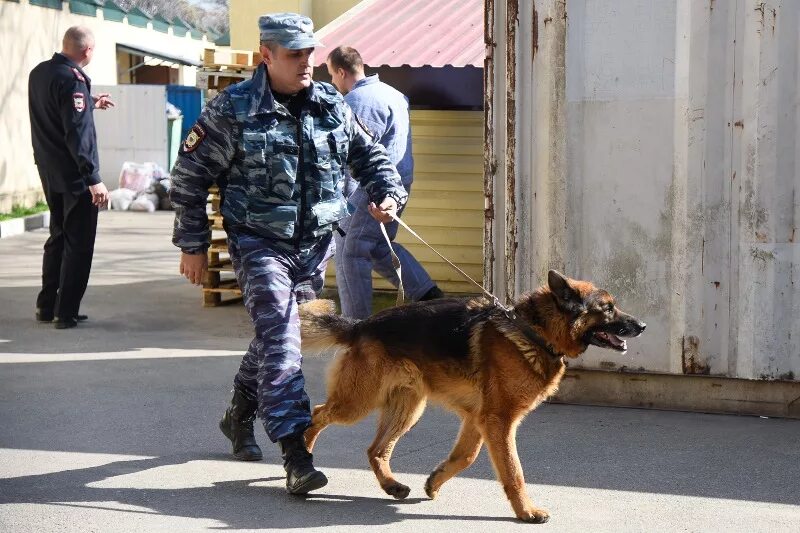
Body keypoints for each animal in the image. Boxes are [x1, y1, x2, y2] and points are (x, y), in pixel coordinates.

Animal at [298, 270, 644, 520]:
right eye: (607, 308)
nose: (641, 325)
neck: (534, 332)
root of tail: (360, 325)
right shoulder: (498, 421)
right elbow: (513, 471)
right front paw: (526, 512)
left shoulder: (479, 420)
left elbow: (465, 456)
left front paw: (435, 481)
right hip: (357, 403)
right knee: (316, 414)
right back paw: (302, 465)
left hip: (408, 409)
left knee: (376, 450)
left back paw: (391, 486)